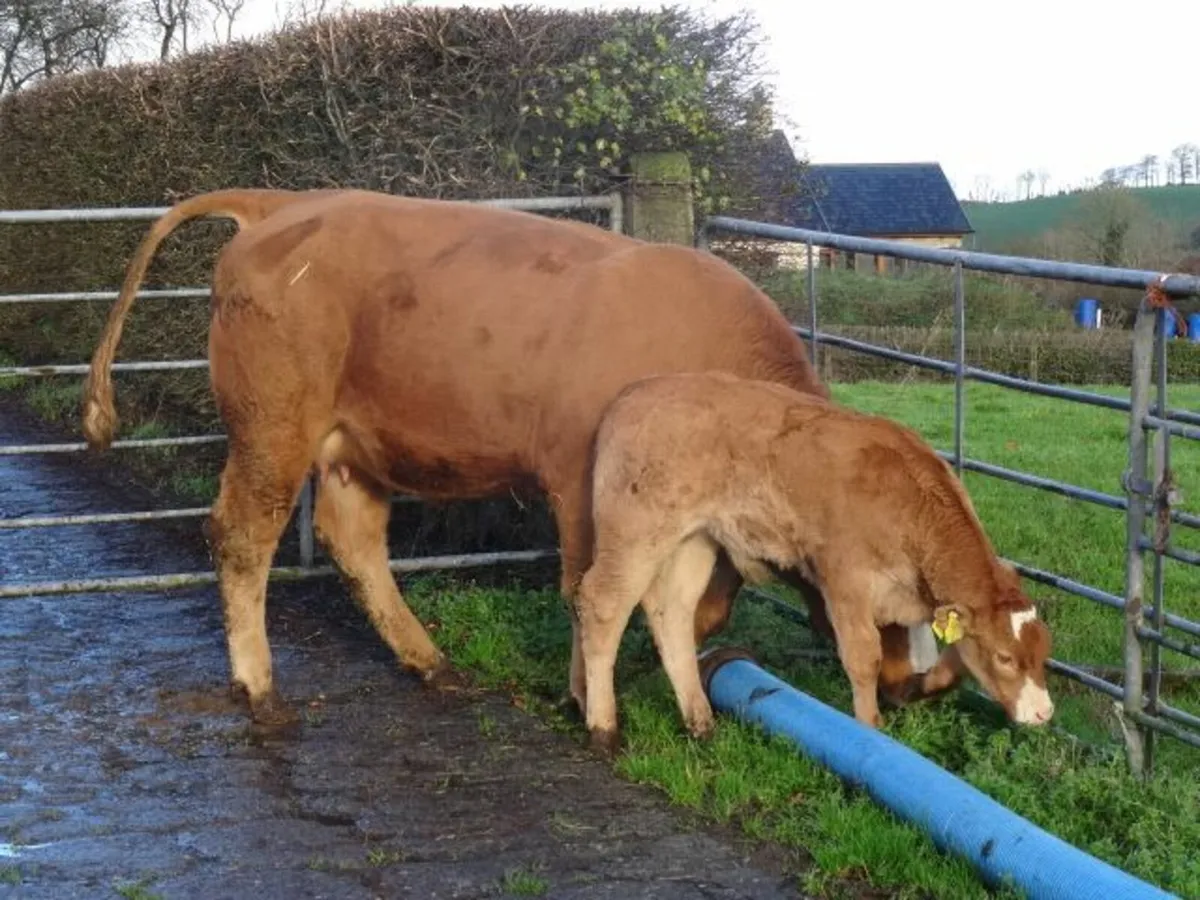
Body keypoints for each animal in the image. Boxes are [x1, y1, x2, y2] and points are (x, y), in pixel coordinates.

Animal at [82, 187, 841, 727]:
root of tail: (281, 202)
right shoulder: (578, 477)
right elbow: (584, 588)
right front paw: (584, 700)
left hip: (351, 444)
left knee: (351, 539)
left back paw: (430, 662)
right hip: (272, 429)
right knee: (242, 535)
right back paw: (260, 686)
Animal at [575, 370, 1054, 756]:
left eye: (1043, 654)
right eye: (1005, 657)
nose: (1044, 713)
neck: (906, 499)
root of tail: (635, 393)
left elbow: (950, 665)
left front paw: (923, 685)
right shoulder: (844, 581)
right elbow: (864, 657)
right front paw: (870, 732)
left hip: (694, 539)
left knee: (671, 613)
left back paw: (700, 721)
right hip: (635, 531)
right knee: (601, 602)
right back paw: (603, 727)